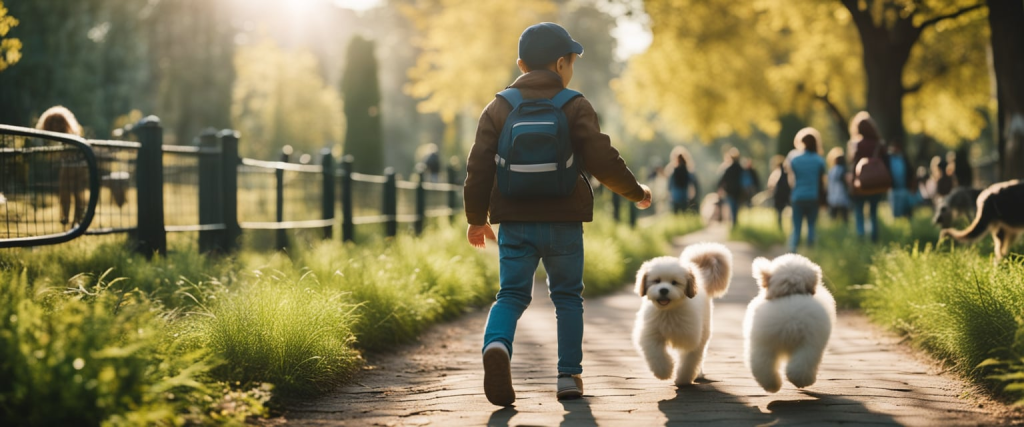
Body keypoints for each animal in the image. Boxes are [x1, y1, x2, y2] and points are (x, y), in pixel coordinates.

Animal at [626, 241, 733, 385]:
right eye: (657, 281)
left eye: (674, 283)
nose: (663, 290)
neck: (669, 311)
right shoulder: (651, 335)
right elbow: (656, 354)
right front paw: (664, 372)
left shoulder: (690, 340)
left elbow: (689, 362)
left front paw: (683, 379)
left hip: (704, 331)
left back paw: (698, 374)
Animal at [745, 252, 839, 393]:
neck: (790, 293)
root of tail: (791, 323)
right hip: (809, 344)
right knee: (801, 366)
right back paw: (802, 382)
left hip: (765, 343)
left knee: (762, 365)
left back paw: (774, 385)